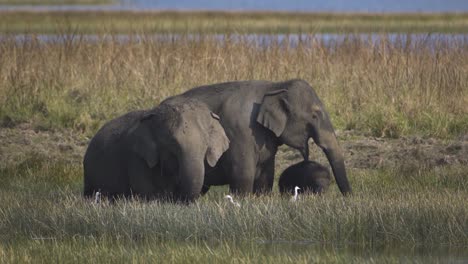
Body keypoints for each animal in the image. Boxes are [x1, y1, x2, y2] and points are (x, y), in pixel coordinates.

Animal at [175, 79, 352, 195]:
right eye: (315, 116)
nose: (348, 197)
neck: (275, 86)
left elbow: (266, 176)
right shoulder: (240, 133)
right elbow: (243, 175)